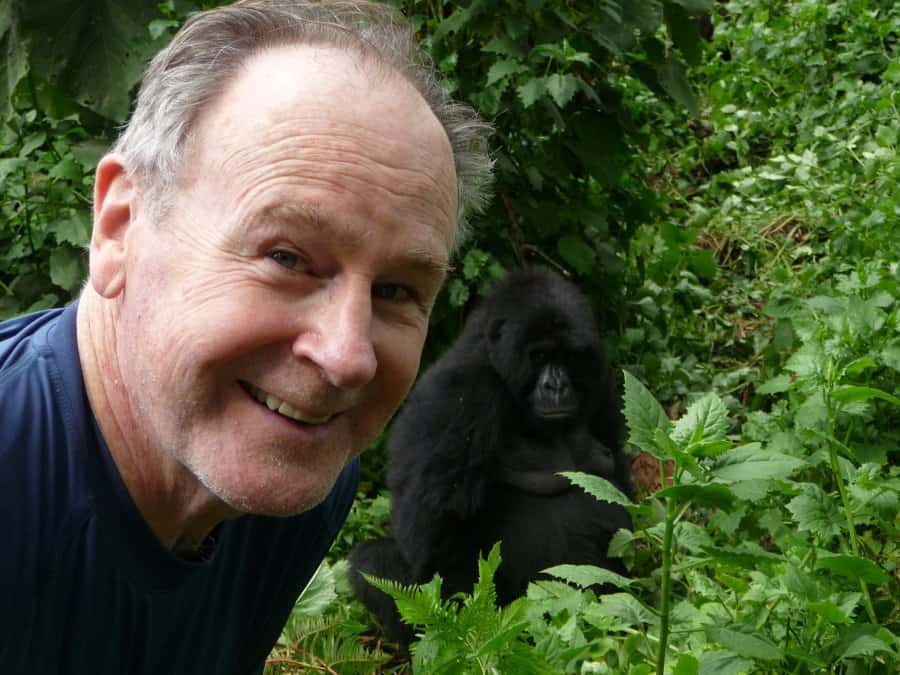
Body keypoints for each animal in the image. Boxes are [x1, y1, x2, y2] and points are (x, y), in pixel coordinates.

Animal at [346, 266, 632, 644]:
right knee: (373, 562)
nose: (557, 386)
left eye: (568, 357)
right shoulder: (460, 394)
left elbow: (619, 487)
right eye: (540, 357)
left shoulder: (600, 379)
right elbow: (433, 541)